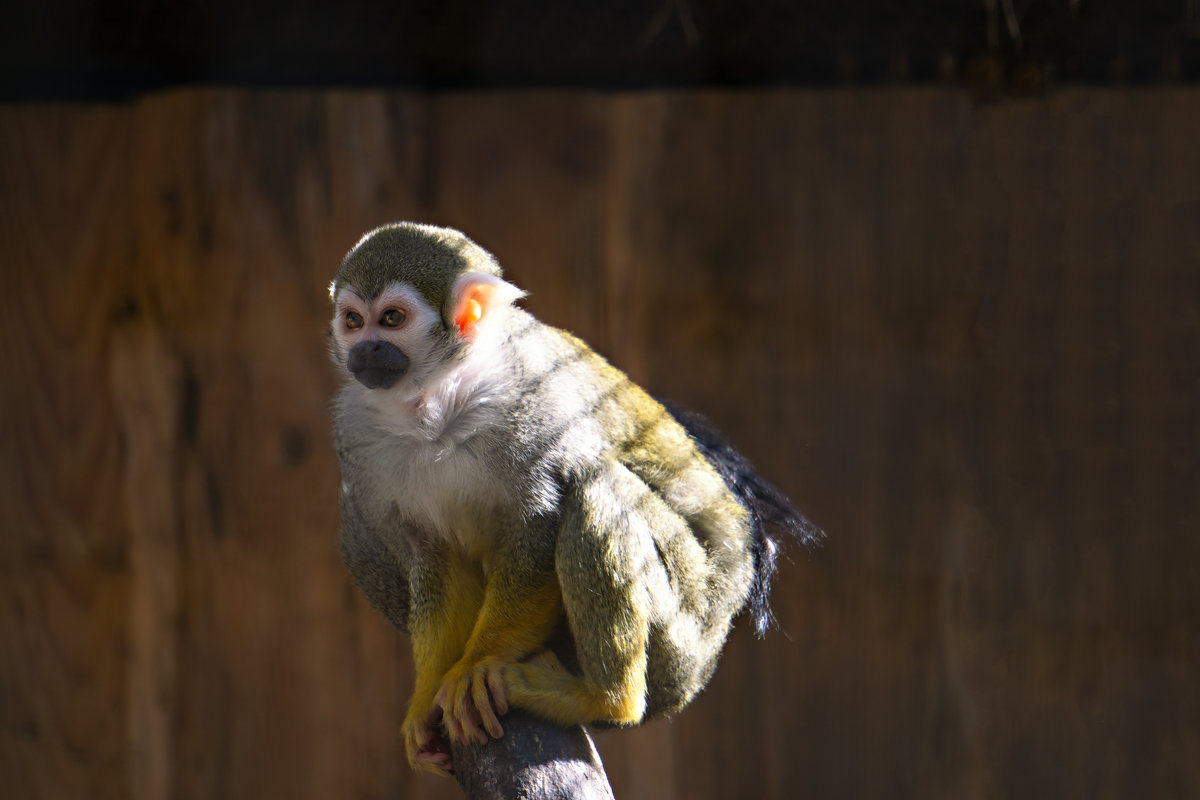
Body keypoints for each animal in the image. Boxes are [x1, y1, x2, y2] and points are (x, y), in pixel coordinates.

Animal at [328, 221, 816, 772]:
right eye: (353, 321)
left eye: (392, 319)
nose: (365, 349)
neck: (440, 399)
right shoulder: (355, 430)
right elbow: (431, 555)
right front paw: (425, 697)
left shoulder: (535, 399)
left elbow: (540, 523)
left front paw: (475, 665)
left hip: (682, 625)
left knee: (595, 484)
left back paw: (603, 699)